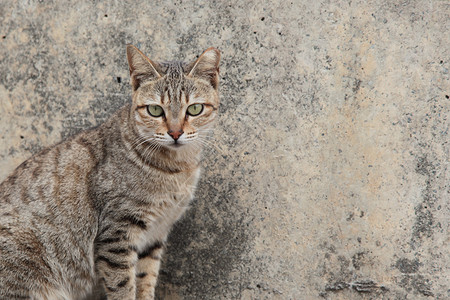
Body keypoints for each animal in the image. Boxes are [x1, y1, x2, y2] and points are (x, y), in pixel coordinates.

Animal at [0, 44, 221, 300]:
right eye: (155, 110)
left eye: (194, 108)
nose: (175, 133)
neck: (176, 168)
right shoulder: (117, 232)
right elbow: (122, 285)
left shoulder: (155, 235)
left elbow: (145, 279)